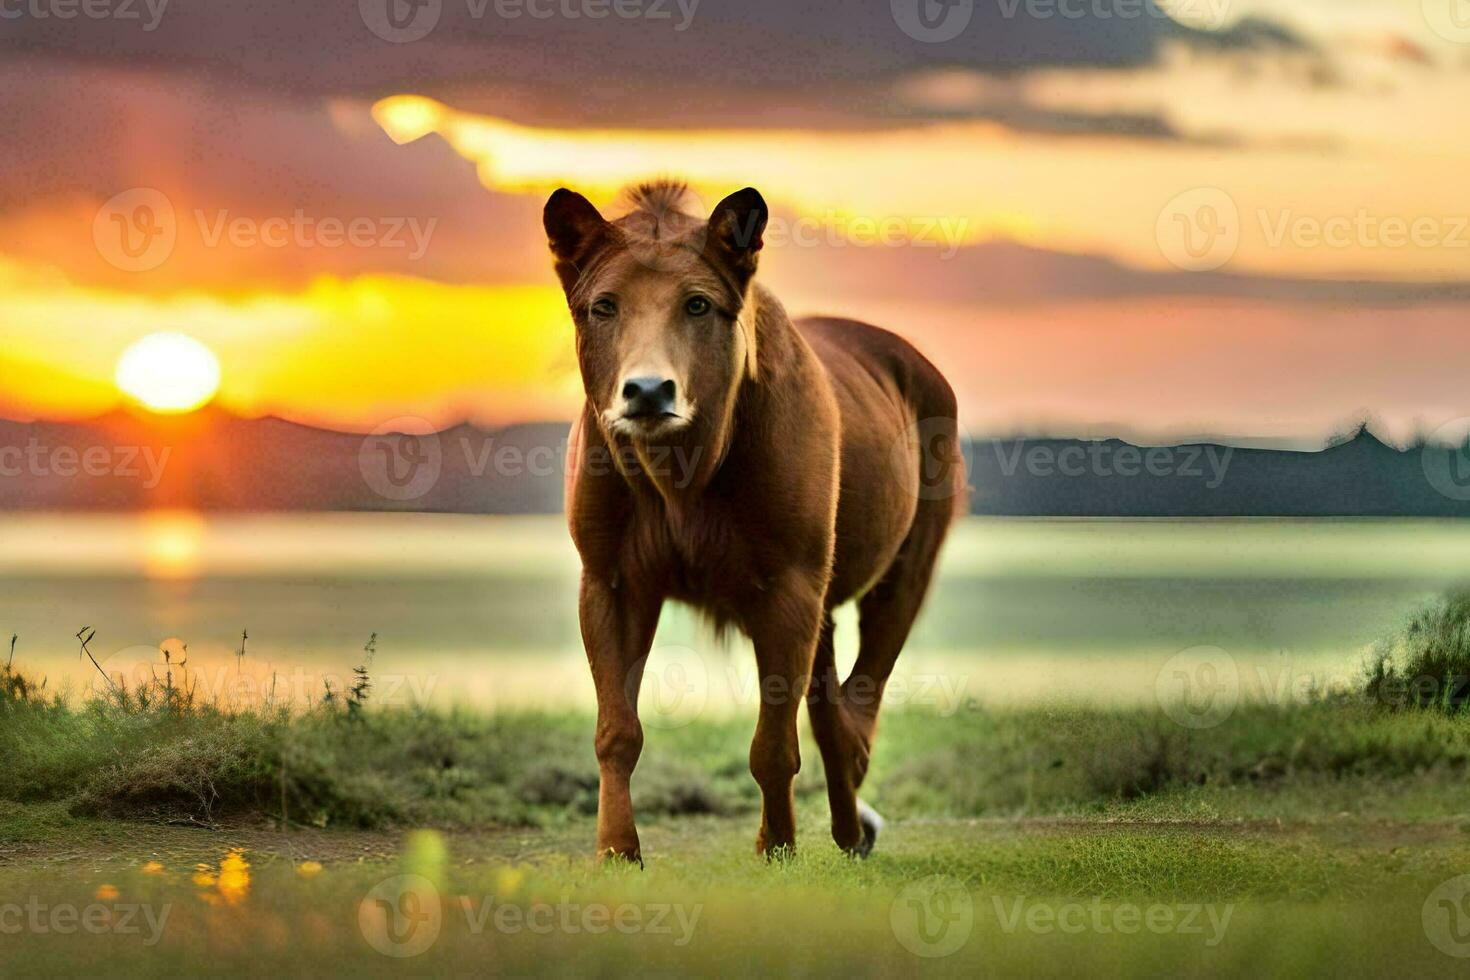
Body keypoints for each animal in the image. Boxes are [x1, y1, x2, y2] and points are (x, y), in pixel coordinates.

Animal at [543, 179, 964, 863]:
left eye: (698, 304)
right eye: (603, 306)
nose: (648, 390)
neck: (681, 471)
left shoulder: (788, 583)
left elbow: (773, 744)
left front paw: (778, 848)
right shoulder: (610, 580)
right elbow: (617, 730)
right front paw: (617, 851)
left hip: (903, 569)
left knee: (857, 701)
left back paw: (853, 823)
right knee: (829, 706)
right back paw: (849, 827)